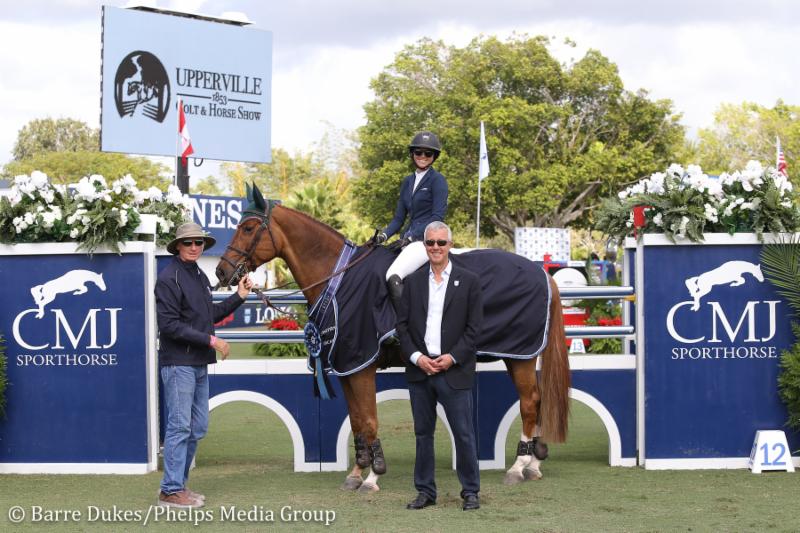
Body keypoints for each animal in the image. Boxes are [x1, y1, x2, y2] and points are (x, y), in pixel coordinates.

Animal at [216, 186, 572, 490]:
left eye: (248, 228)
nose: (222, 272)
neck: (340, 279)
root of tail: (541, 273)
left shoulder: (361, 364)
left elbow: (370, 419)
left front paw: (373, 476)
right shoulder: (346, 366)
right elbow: (357, 420)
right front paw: (356, 472)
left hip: (520, 355)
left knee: (530, 402)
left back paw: (519, 466)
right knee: (537, 401)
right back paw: (534, 463)